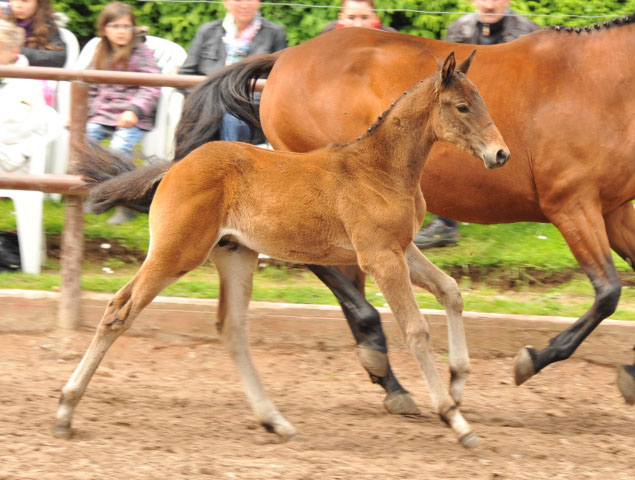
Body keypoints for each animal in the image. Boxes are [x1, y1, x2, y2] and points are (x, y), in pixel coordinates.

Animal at [54, 51, 512, 446]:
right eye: (462, 107)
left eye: (479, 100)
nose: (501, 153)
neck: (381, 168)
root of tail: (175, 166)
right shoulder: (381, 257)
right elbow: (416, 329)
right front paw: (454, 419)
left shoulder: (403, 248)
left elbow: (451, 290)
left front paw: (457, 382)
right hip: (175, 253)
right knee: (118, 312)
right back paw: (65, 411)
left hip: (235, 255)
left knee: (232, 329)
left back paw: (276, 421)